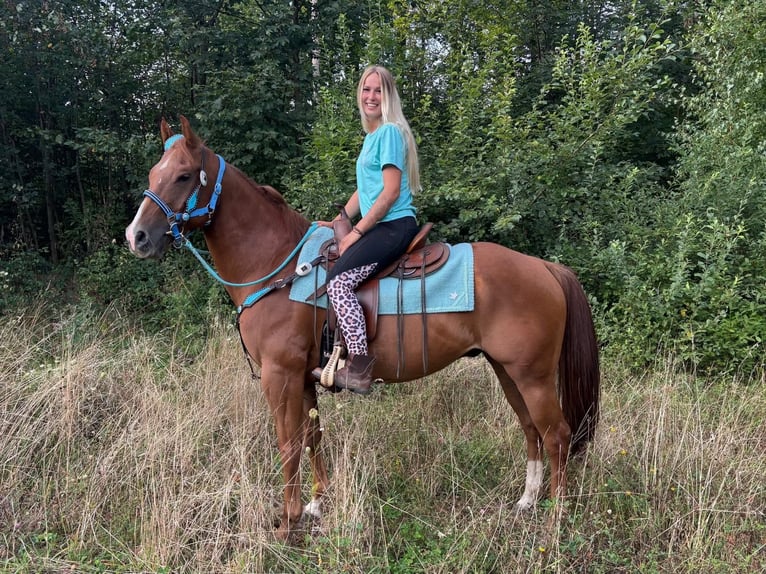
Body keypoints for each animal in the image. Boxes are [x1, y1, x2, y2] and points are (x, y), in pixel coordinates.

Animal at [125, 115, 600, 541]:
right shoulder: (304, 377)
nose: (137, 236)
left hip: (532, 376)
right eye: (154, 174)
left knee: (557, 435)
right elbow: (313, 436)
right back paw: (527, 501)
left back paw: (556, 521)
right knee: (531, 428)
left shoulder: (280, 376)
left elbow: (288, 444)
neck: (277, 266)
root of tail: (545, 267)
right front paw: (316, 505)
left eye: (184, 176)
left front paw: (287, 524)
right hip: (508, 371)